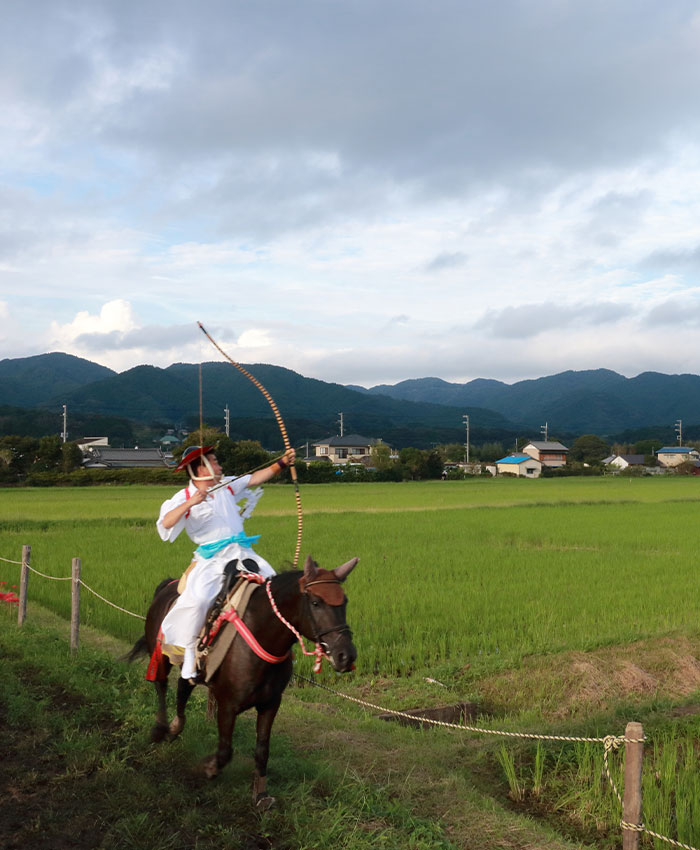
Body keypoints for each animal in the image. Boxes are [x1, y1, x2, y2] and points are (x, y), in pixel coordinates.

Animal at [126, 548, 358, 800]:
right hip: (160, 652)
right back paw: (160, 729)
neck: (261, 635)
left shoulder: (270, 703)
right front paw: (209, 768)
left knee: (183, 686)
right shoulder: (227, 704)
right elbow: (225, 750)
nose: (346, 656)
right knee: (161, 684)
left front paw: (260, 794)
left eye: (345, 602)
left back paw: (175, 728)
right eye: (316, 602)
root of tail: (167, 586)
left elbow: (262, 750)